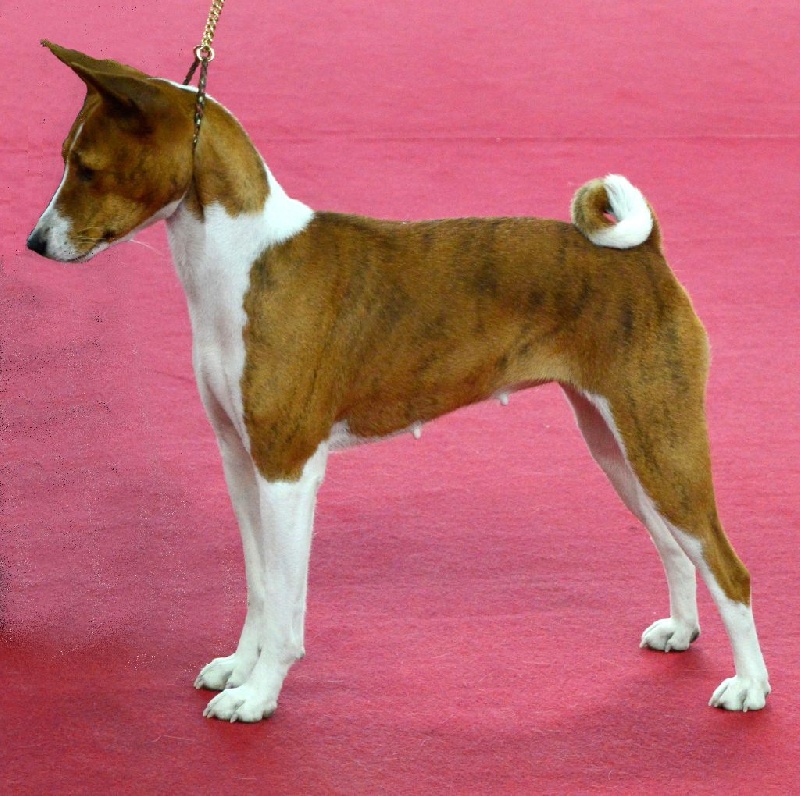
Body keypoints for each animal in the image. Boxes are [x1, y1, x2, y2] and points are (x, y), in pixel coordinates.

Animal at [27, 41, 770, 722]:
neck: (240, 265)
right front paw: (238, 669)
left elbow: (286, 609)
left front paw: (258, 695)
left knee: (728, 567)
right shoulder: (241, 460)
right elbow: (259, 587)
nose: (34, 243)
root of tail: (645, 254)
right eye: (66, 159)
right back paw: (681, 631)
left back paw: (750, 687)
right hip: (619, 445)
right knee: (676, 548)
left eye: (86, 168)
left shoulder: (288, 470)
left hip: (662, 442)